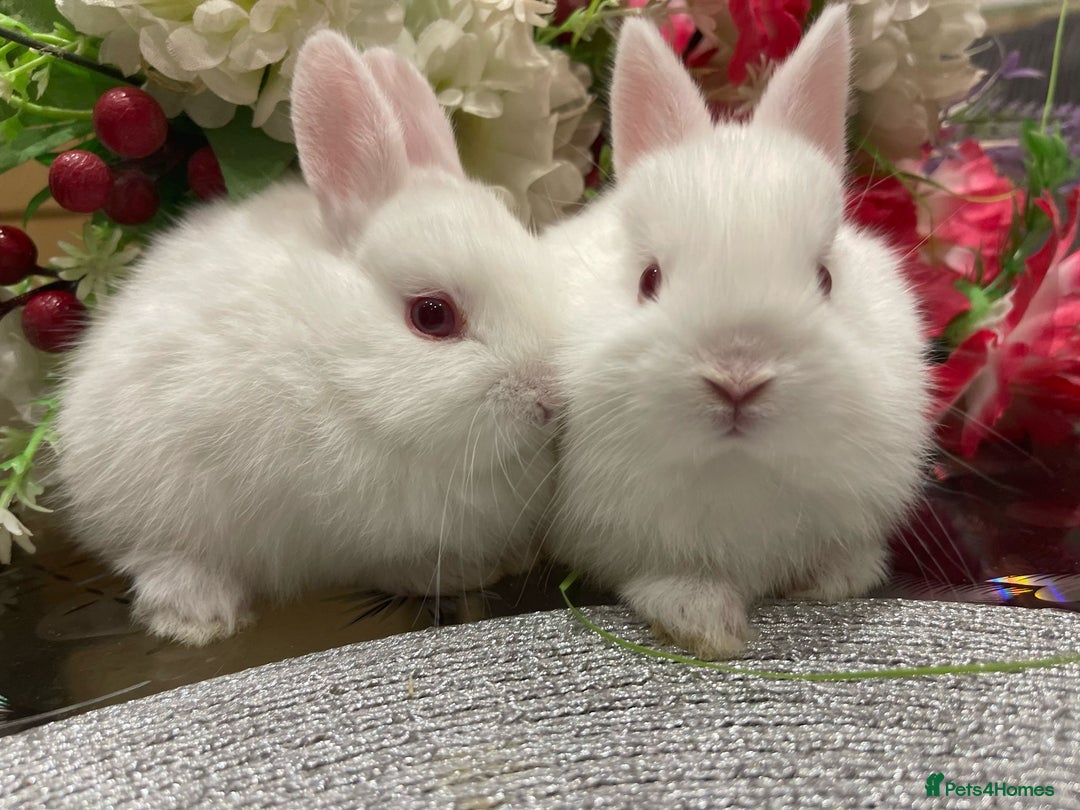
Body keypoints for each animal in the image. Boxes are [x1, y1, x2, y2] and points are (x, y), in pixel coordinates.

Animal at [53, 30, 561, 646]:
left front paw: (490, 566)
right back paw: (197, 617)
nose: (549, 397)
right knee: (158, 557)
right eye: (433, 315)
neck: (337, 374)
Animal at [543, 6, 933, 659]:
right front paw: (705, 624)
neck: (738, 475)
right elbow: (666, 578)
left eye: (826, 278)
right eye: (648, 279)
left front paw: (835, 579)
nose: (737, 379)